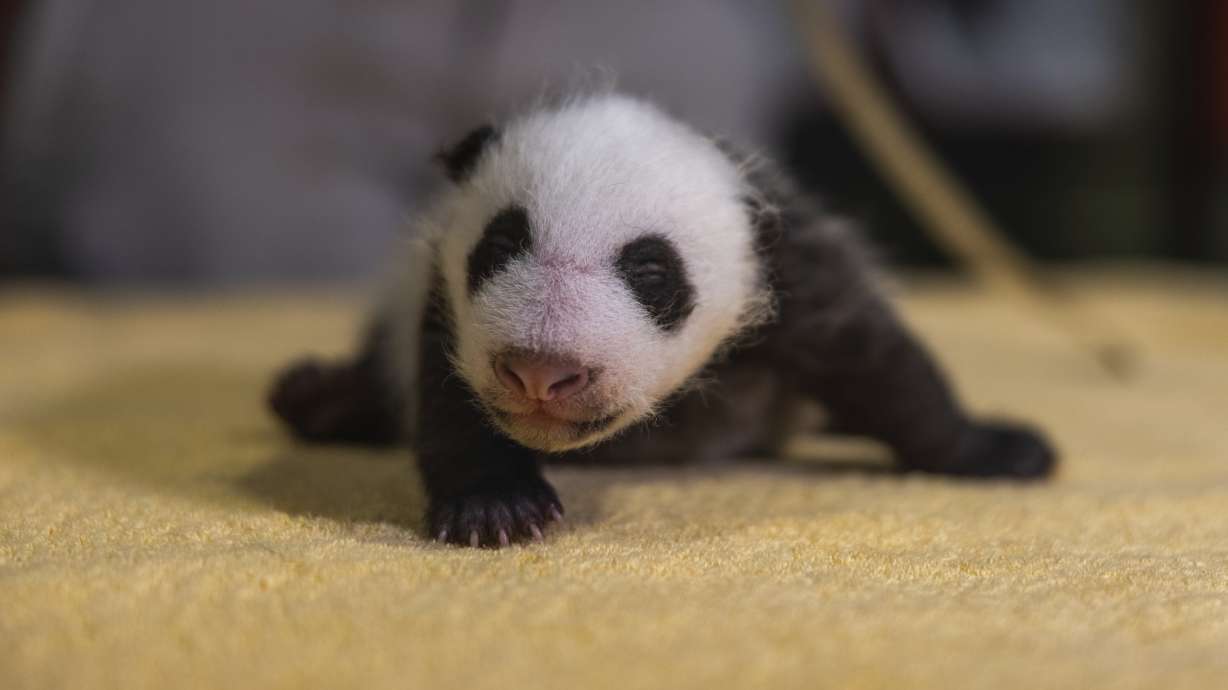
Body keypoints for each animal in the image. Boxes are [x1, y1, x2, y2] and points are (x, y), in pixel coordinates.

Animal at [269, 92, 1056, 548]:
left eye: (651, 274)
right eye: (499, 245)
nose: (540, 374)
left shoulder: (786, 267)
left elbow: (878, 364)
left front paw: (996, 448)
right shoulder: (442, 295)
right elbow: (449, 391)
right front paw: (494, 506)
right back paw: (318, 398)